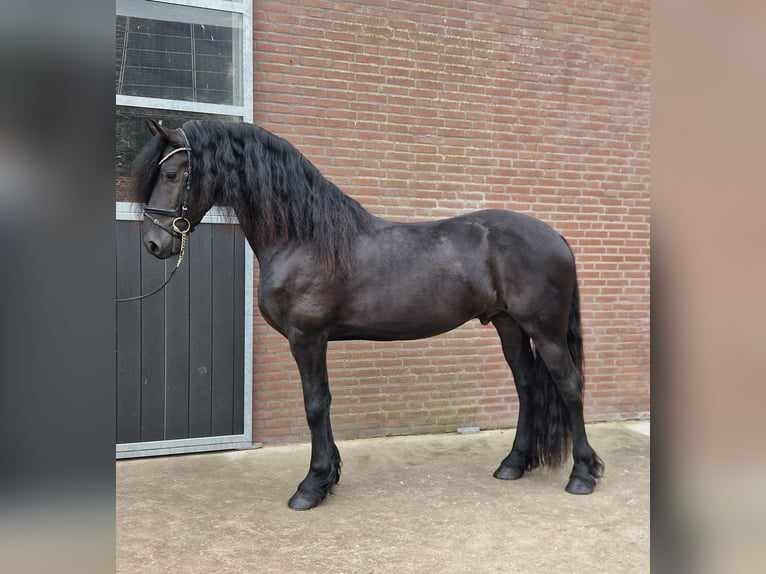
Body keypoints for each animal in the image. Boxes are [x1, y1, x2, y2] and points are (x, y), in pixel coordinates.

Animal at [132, 119, 604, 510]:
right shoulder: (313, 340)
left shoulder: (307, 337)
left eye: (171, 175)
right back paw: (513, 464)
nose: (154, 244)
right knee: (527, 385)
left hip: (544, 330)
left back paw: (583, 474)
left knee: (569, 386)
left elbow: (315, 405)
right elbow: (322, 404)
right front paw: (329, 477)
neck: (304, 238)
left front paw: (312, 486)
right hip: (509, 325)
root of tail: (556, 236)